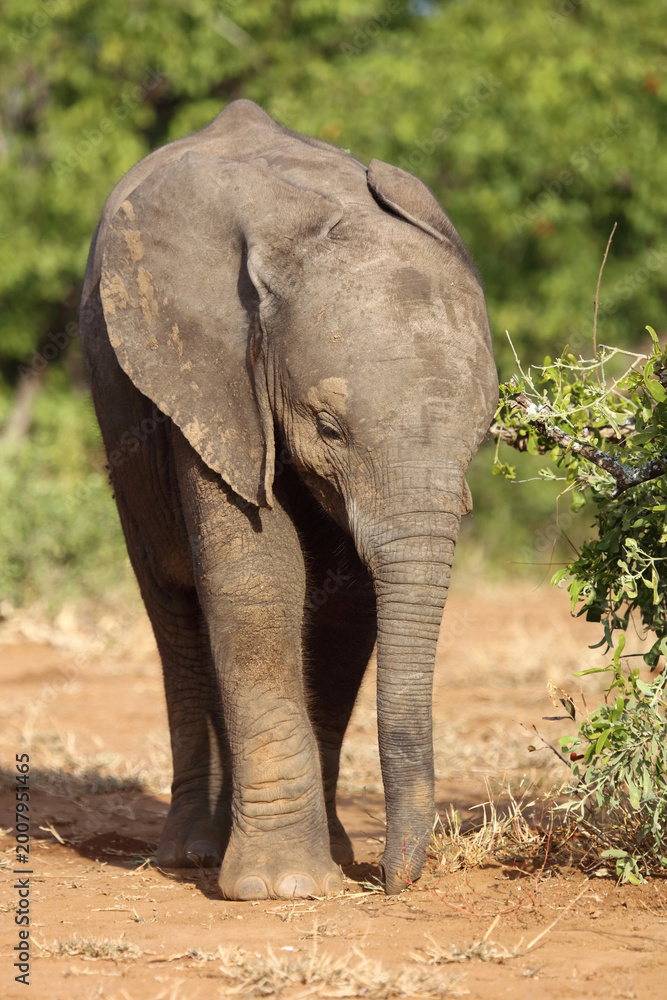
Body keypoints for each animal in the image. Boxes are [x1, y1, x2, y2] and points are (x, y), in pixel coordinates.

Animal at [80, 99, 498, 900]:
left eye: (483, 432)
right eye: (327, 426)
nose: (390, 879)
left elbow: (342, 604)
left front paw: (326, 864)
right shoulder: (209, 379)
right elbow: (258, 579)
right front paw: (284, 889)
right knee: (175, 613)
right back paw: (190, 855)